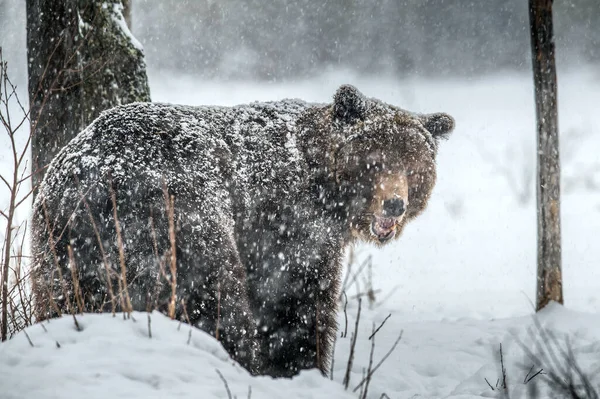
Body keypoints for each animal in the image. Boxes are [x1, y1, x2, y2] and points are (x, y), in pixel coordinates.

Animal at [31, 84, 454, 378]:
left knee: (62, 299)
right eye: (375, 160)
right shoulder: (287, 229)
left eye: (414, 166)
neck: (324, 190)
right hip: (175, 215)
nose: (394, 205)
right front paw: (303, 368)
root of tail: (91, 181)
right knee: (216, 297)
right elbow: (296, 307)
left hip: (60, 245)